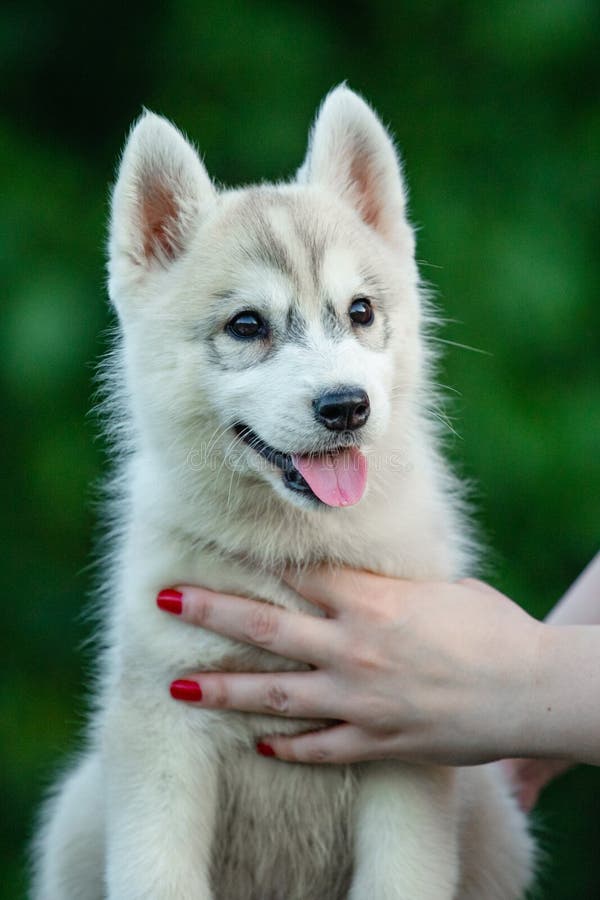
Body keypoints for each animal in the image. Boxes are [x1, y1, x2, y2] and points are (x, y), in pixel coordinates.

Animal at [31, 86, 536, 900]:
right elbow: (158, 874)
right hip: (79, 811)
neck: (292, 547)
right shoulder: (163, 727)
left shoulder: (407, 744)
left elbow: (401, 874)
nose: (346, 406)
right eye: (247, 325)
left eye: (361, 311)